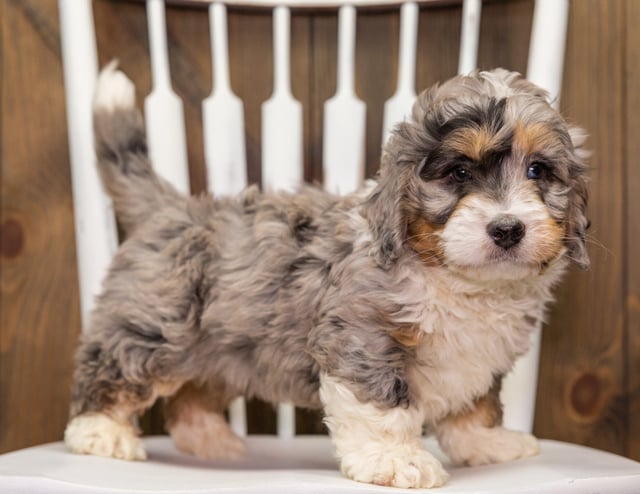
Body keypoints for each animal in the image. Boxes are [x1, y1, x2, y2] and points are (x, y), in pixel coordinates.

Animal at [65, 63, 592, 488]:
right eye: (459, 172)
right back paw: (101, 433)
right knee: (113, 371)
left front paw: (488, 444)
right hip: (155, 330)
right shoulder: (362, 338)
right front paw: (396, 461)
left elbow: (475, 406)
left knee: (192, 397)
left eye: (538, 170)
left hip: (227, 350)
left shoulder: (479, 358)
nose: (507, 228)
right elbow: (384, 405)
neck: (454, 279)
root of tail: (172, 206)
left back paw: (212, 442)